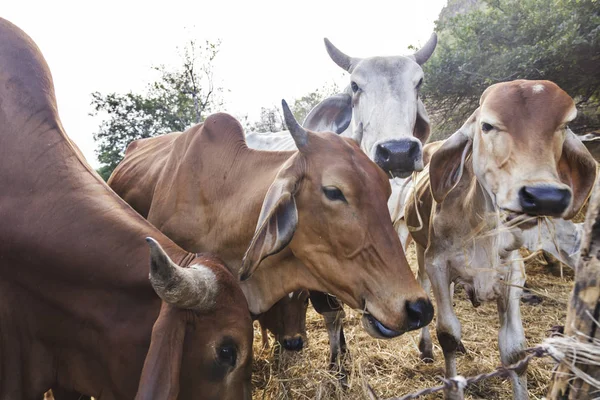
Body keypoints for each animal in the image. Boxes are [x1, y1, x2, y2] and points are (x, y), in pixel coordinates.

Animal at [404, 80, 596, 400]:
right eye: (487, 125)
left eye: (565, 125)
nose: (545, 196)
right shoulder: (437, 263)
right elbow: (448, 334)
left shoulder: (512, 274)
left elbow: (514, 352)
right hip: (420, 249)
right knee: (424, 287)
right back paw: (426, 347)